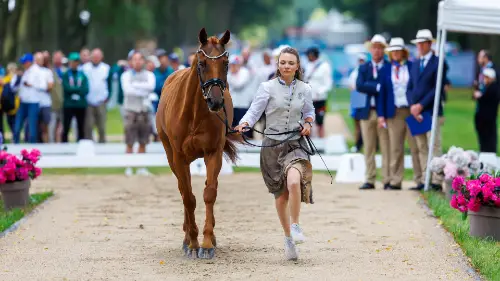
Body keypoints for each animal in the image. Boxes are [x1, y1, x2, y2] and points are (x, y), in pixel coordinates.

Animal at [156, 27, 242, 258]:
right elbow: (188, 197)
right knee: (183, 190)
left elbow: (209, 194)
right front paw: (193, 243)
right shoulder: (179, 157)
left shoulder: (213, 153)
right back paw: (187, 238)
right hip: (172, 157)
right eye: (202, 63)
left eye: (226, 64)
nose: (216, 101)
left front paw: (207, 243)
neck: (194, 113)